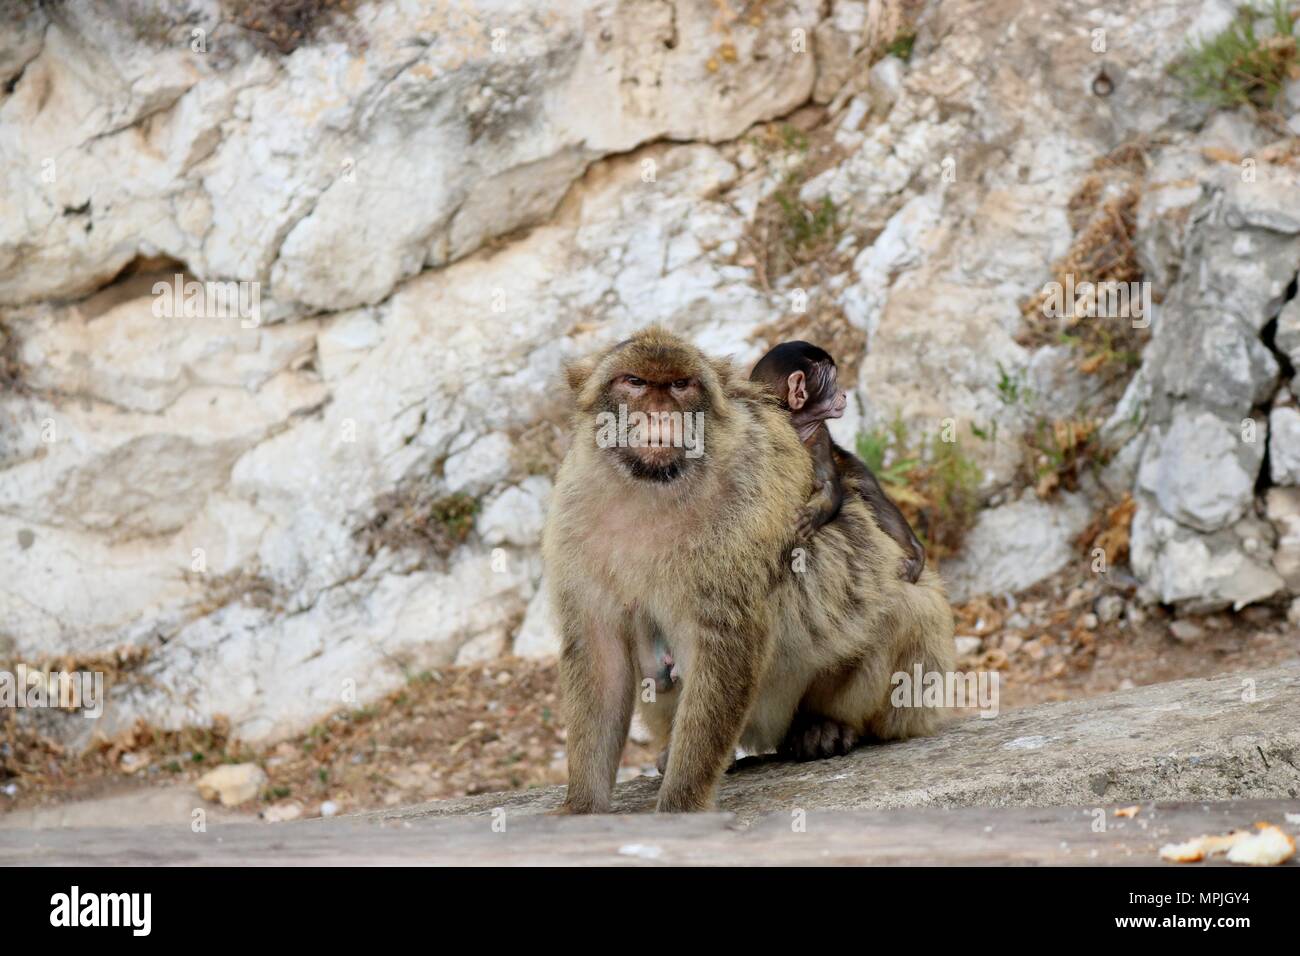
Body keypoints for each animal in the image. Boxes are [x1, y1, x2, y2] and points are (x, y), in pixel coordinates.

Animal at [749, 341, 926, 584]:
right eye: (833, 382)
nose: (843, 394)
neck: (792, 425)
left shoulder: (818, 434)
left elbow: (829, 484)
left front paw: (813, 516)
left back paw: (915, 552)